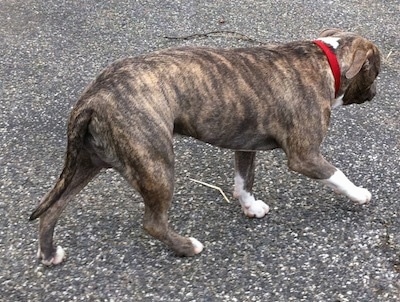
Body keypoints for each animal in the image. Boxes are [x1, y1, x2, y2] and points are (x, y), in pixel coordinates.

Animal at [29, 28, 380, 264]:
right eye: (376, 71)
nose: (375, 94)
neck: (327, 59)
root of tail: (94, 96)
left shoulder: (246, 145)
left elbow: (244, 181)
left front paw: (250, 207)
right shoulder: (304, 156)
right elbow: (337, 175)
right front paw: (359, 194)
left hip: (87, 164)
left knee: (53, 211)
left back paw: (49, 254)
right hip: (156, 165)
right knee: (153, 223)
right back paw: (187, 247)